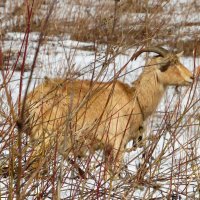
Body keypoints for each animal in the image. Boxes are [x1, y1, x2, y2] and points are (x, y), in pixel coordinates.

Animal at [23, 46, 194, 178]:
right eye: (171, 63)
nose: (192, 77)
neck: (135, 98)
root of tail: (32, 98)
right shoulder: (118, 143)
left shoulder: (107, 148)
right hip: (46, 137)